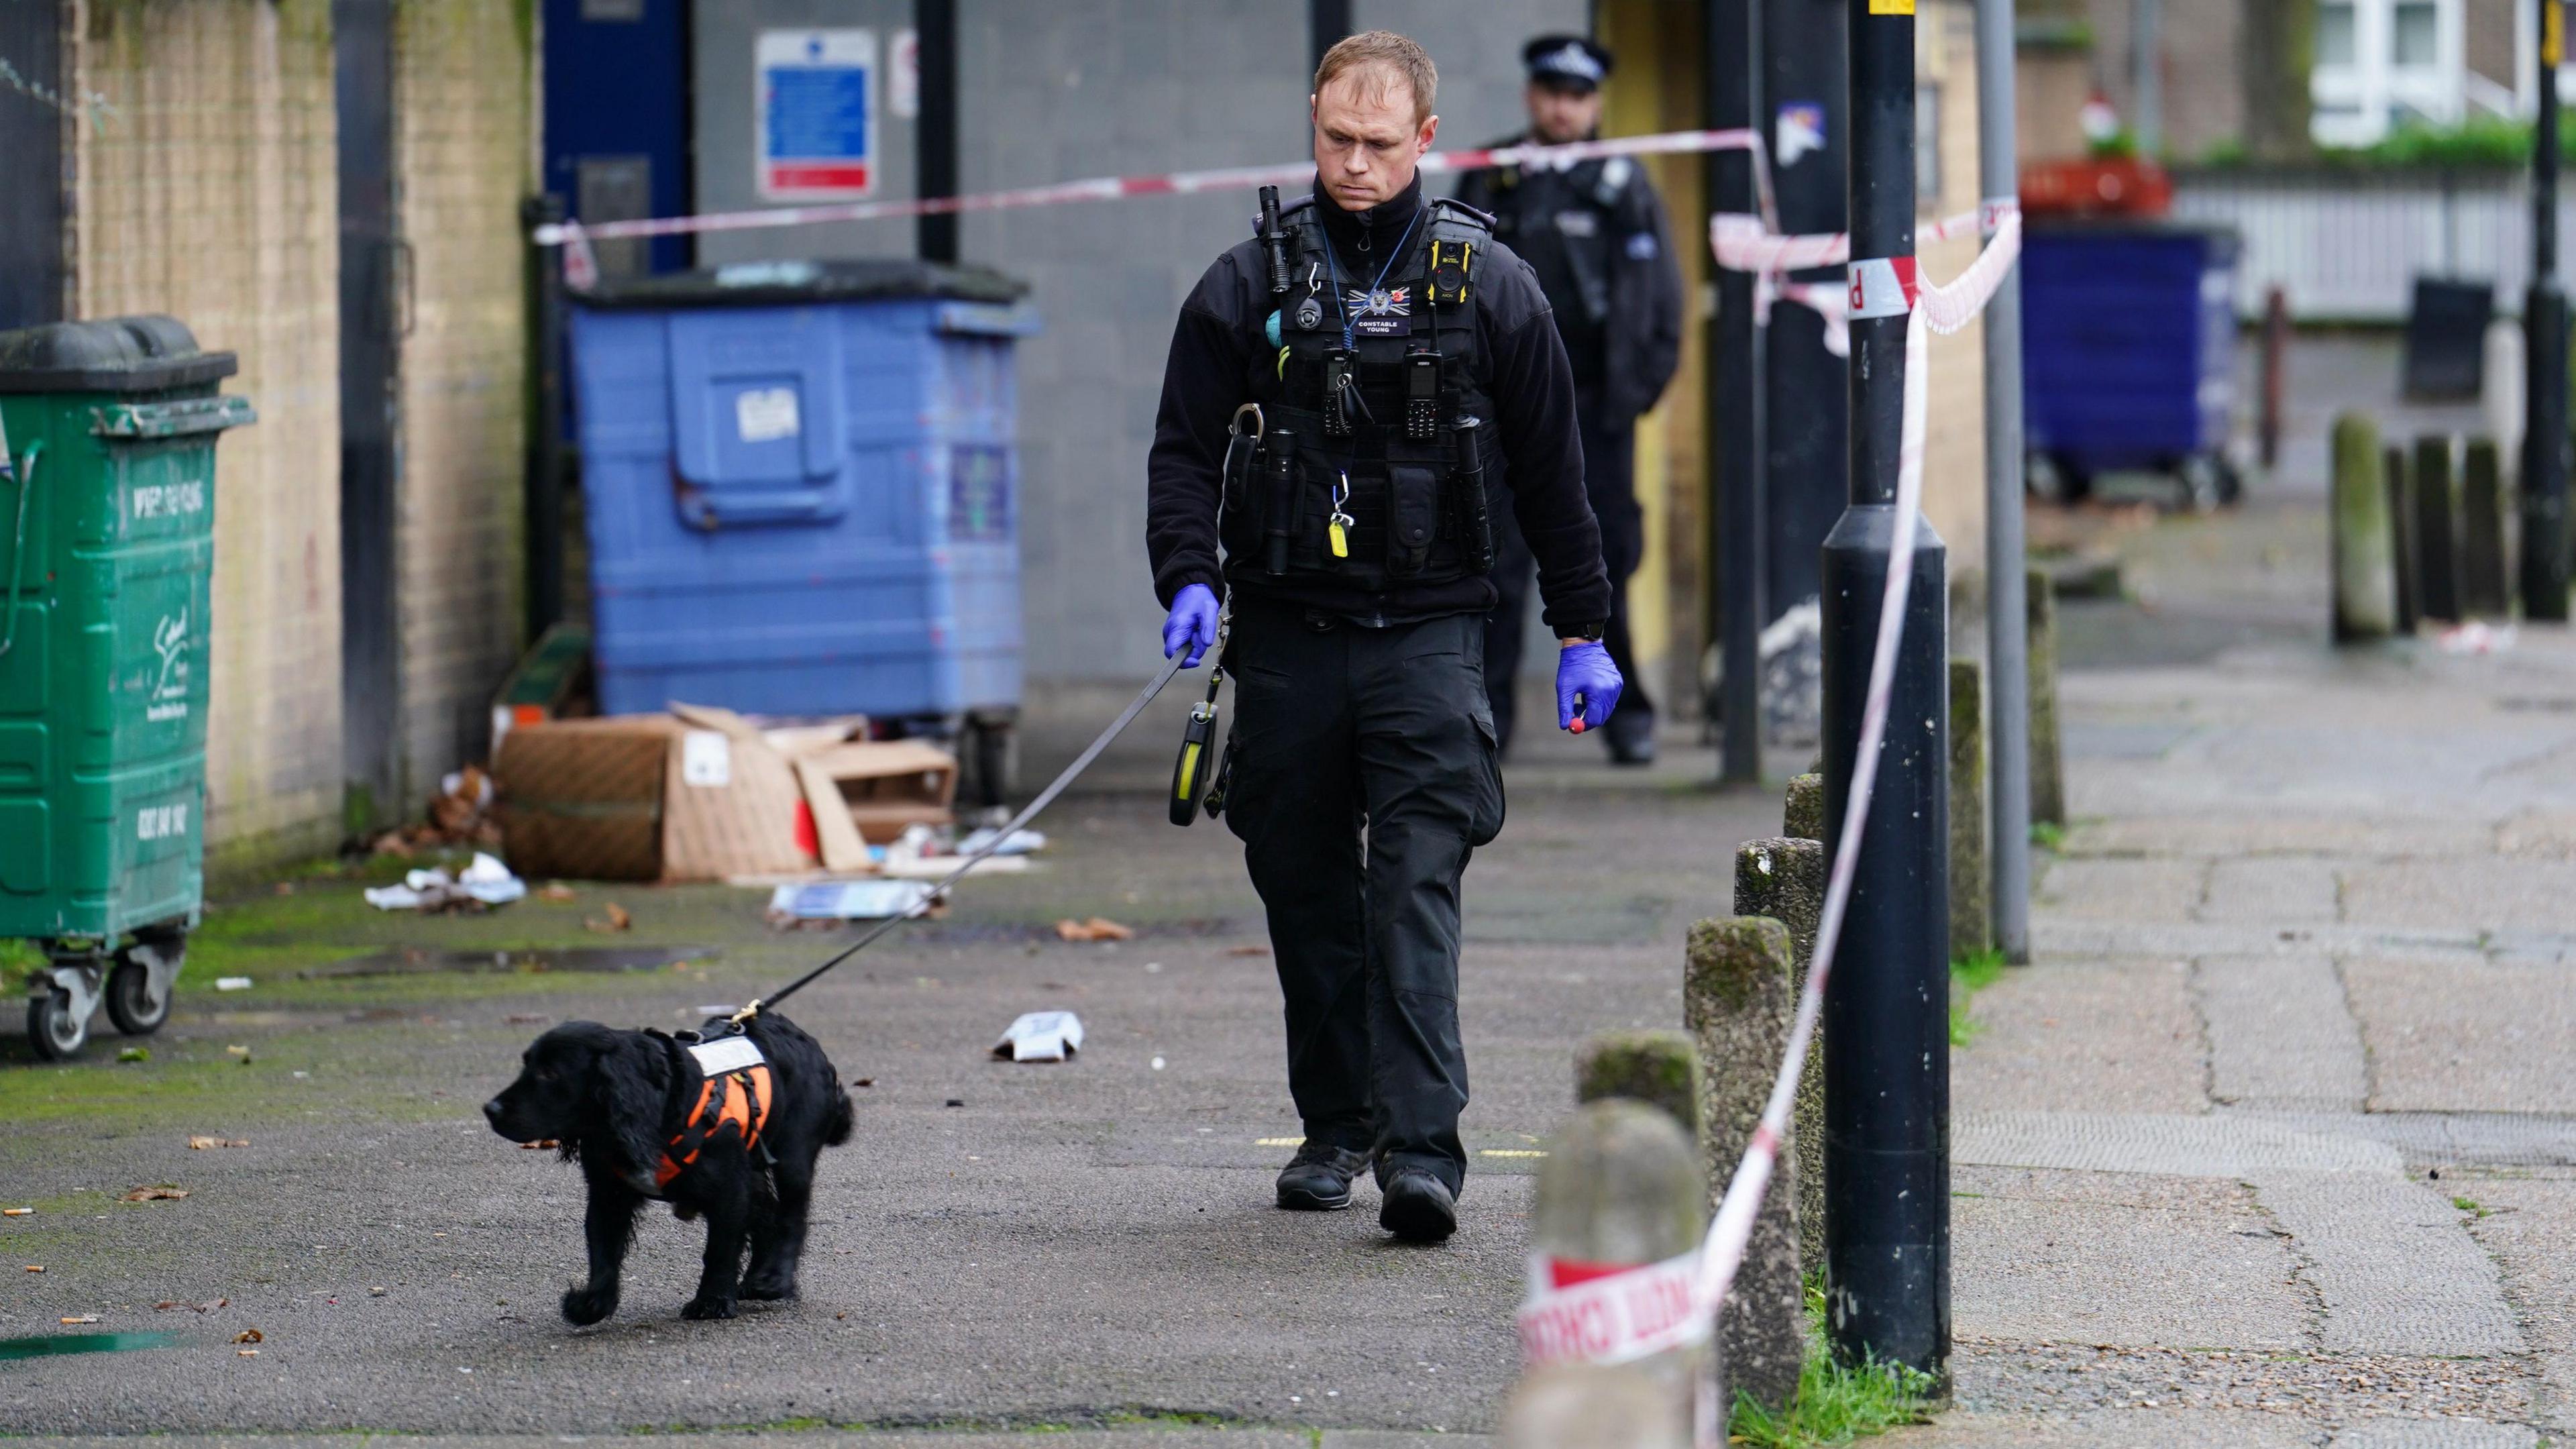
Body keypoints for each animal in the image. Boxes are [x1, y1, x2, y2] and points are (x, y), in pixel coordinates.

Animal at [479, 1005, 850, 1320]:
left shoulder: (729, 1190)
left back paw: (773, 1280)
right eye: (527, 1064)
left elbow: (719, 1248)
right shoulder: (608, 1193)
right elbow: (603, 1251)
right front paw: (592, 1304)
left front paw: (712, 1301)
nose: (490, 1109)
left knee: (791, 1216)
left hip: (792, 1157)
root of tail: (807, 1041)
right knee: (768, 1215)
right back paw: (756, 1278)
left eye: (550, 1073)